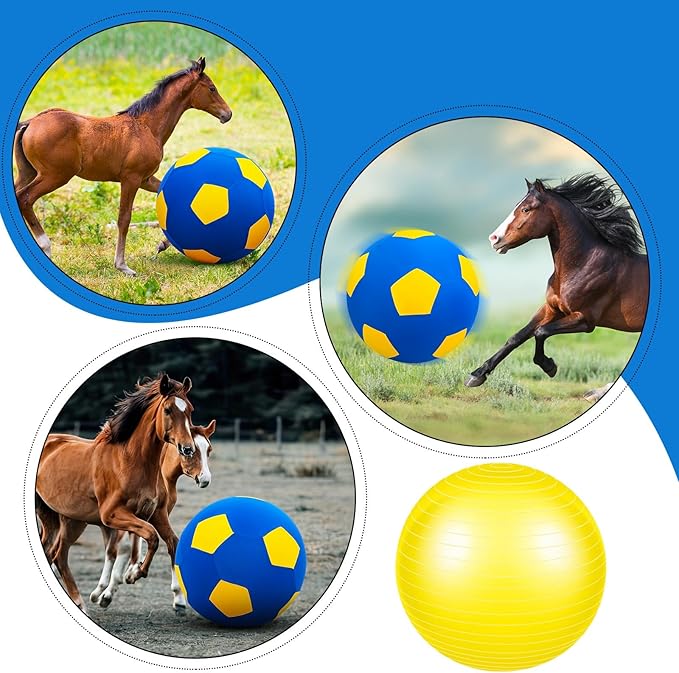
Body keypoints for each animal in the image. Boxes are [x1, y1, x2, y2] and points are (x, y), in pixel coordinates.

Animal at [13, 57, 232, 276]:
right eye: (212, 88)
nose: (227, 114)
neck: (146, 127)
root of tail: (31, 123)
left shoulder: (145, 179)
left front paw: (162, 244)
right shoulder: (131, 179)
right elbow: (124, 219)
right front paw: (122, 265)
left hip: (28, 173)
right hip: (55, 175)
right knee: (25, 198)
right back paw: (46, 246)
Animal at [35, 373, 196, 612]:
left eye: (190, 410)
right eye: (168, 410)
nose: (187, 449)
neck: (130, 461)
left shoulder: (156, 513)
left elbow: (171, 542)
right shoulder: (111, 515)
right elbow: (150, 536)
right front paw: (135, 573)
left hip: (59, 518)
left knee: (53, 553)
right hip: (68, 521)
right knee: (59, 555)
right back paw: (81, 602)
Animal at [88, 420, 216, 611]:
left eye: (209, 450)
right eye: (188, 450)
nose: (204, 479)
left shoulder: (158, 514)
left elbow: (169, 544)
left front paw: (178, 597)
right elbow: (126, 547)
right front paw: (110, 590)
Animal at [465, 174, 648, 402]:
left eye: (526, 209)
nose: (494, 239)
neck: (582, 265)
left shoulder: (585, 320)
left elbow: (540, 332)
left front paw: (549, 366)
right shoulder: (551, 309)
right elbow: (516, 337)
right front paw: (477, 375)